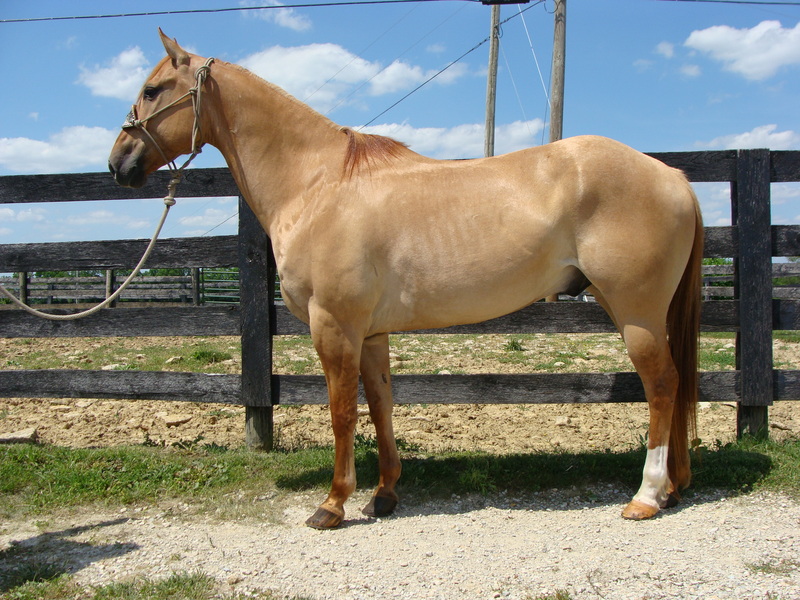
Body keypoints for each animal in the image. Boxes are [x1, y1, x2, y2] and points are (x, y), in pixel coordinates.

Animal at [109, 30, 704, 529]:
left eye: (153, 89)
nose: (118, 163)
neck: (317, 184)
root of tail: (672, 176)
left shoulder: (335, 327)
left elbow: (342, 412)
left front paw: (332, 504)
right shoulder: (371, 333)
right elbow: (381, 405)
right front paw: (384, 496)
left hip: (635, 313)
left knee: (662, 386)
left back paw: (647, 497)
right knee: (673, 387)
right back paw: (674, 489)